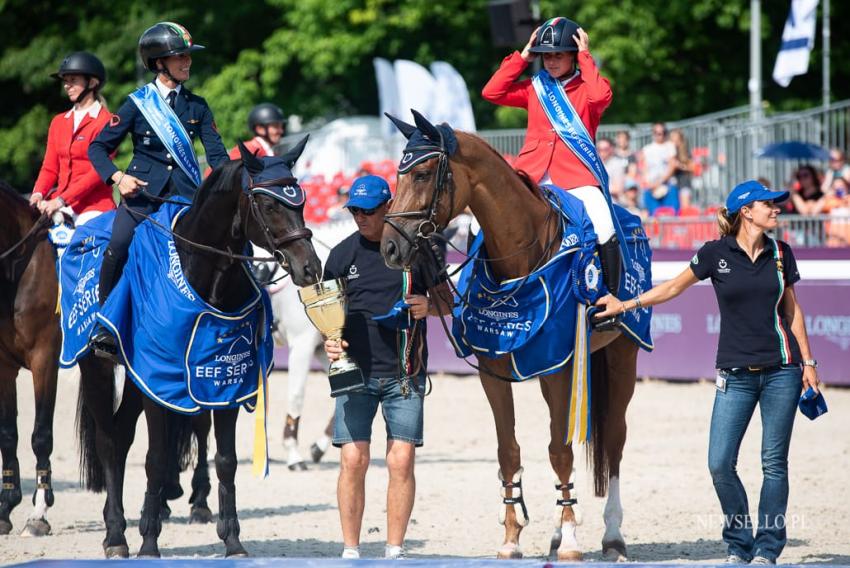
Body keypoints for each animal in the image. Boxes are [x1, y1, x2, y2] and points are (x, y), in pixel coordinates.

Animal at [77, 140, 322, 556]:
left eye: (301, 200)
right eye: (268, 204)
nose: (310, 268)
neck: (208, 276)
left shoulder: (227, 380)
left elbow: (225, 460)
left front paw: (233, 539)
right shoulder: (161, 380)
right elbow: (157, 459)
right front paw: (149, 543)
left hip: (138, 377)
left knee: (122, 435)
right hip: (97, 367)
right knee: (109, 442)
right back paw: (116, 536)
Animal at [380, 113, 640, 560]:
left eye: (424, 173)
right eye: (397, 175)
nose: (390, 248)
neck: (521, 257)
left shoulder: (558, 369)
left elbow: (560, 450)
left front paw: (571, 539)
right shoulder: (495, 371)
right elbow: (509, 451)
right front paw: (513, 536)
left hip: (623, 356)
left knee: (615, 441)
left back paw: (611, 536)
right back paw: (555, 533)